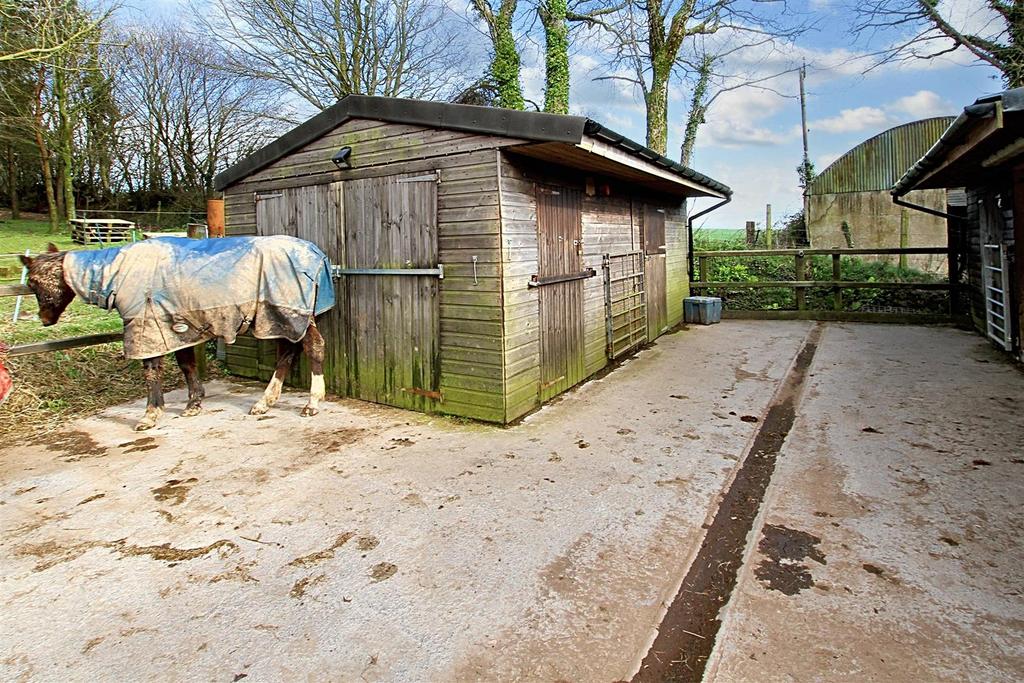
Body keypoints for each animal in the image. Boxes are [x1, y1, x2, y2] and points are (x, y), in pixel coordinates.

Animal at [19, 236, 333, 432]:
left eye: (33, 281)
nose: (44, 320)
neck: (118, 271)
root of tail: (316, 255)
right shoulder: (178, 326)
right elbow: (186, 364)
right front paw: (193, 404)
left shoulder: (148, 327)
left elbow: (152, 371)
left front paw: (150, 415)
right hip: (277, 317)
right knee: (289, 351)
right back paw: (264, 403)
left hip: (290, 312)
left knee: (313, 347)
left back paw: (311, 403)